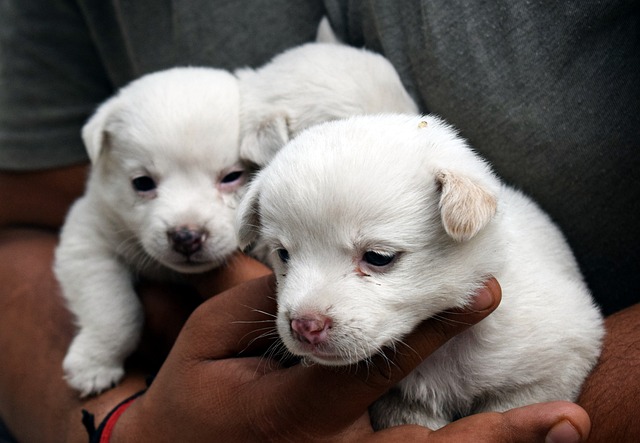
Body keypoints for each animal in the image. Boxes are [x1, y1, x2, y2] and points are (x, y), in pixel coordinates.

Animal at [55, 67, 248, 398]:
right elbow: (112, 310)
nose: (186, 237)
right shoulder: (89, 240)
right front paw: (94, 364)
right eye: (142, 183)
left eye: (233, 176)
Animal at [236, 113, 604, 430]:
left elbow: (515, 401)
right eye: (283, 254)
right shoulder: (401, 401)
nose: (304, 325)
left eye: (378, 257)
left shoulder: (560, 359)